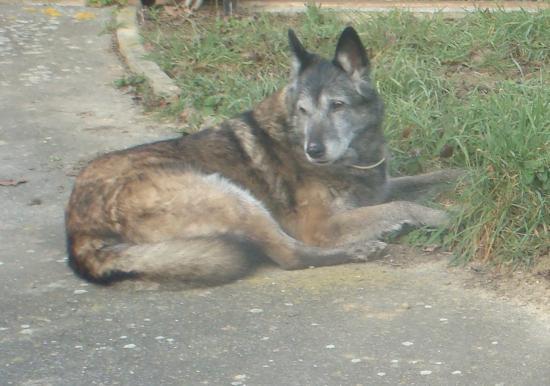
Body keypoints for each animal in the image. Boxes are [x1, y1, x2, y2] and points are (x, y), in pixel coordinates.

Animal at [66, 27, 462, 286]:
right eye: (303, 110)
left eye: (337, 106)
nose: (313, 150)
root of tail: (77, 228)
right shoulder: (321, 225)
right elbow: (401, 205)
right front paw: (448, 218)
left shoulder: (382, 185)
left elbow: (425, 180)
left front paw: (463, 178)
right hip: (231, 196)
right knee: (290, 255)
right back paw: (360, 250)